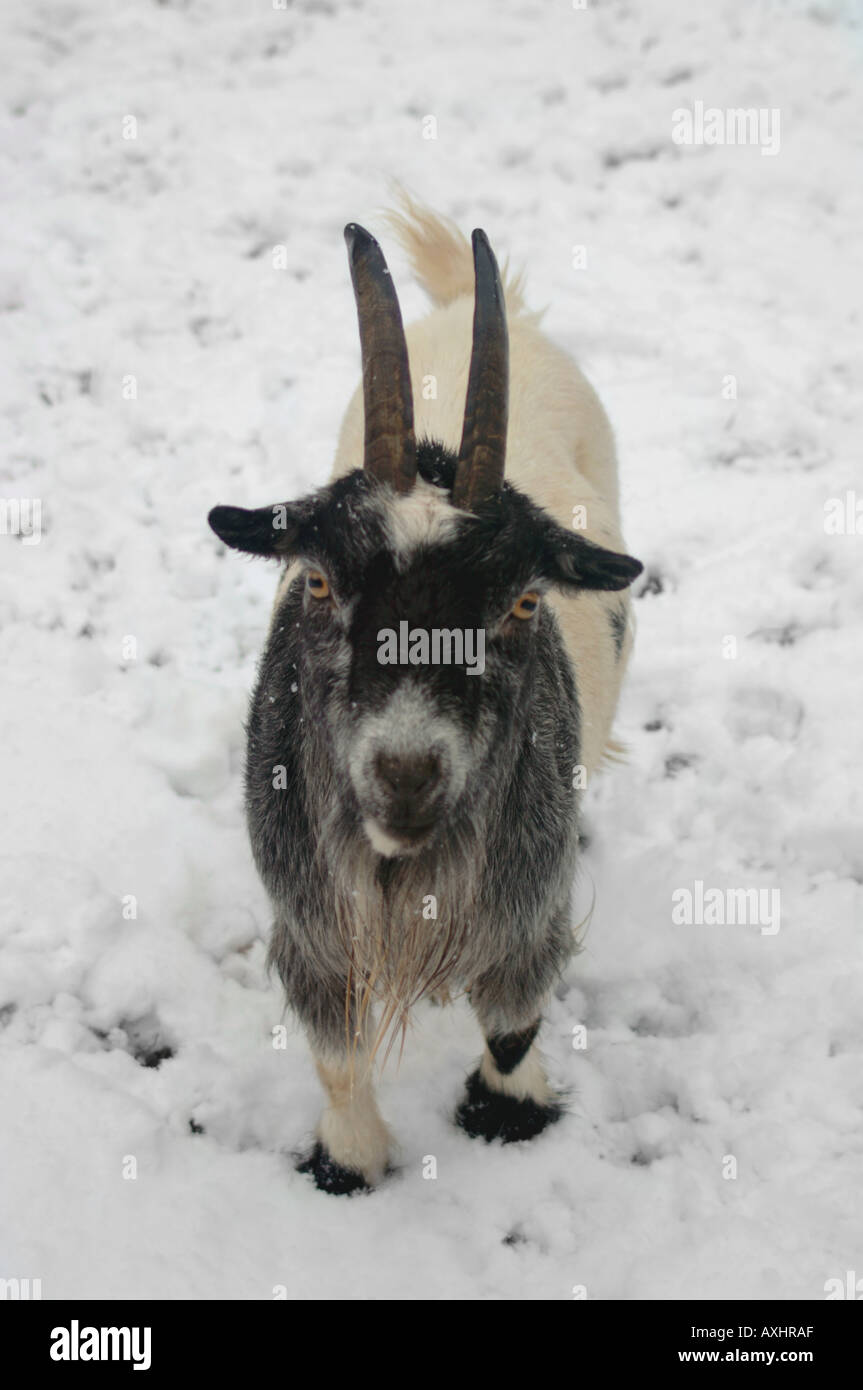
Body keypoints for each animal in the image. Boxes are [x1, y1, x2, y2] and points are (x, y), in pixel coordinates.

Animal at [208, 198, 642, 1194]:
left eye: (524, 601)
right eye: (317, 581)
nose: (406, 774)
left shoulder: (526, 910)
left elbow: (513, 1020)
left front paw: (508, 1110)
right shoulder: (311, 924)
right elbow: (336, 1054)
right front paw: (350, 1161)